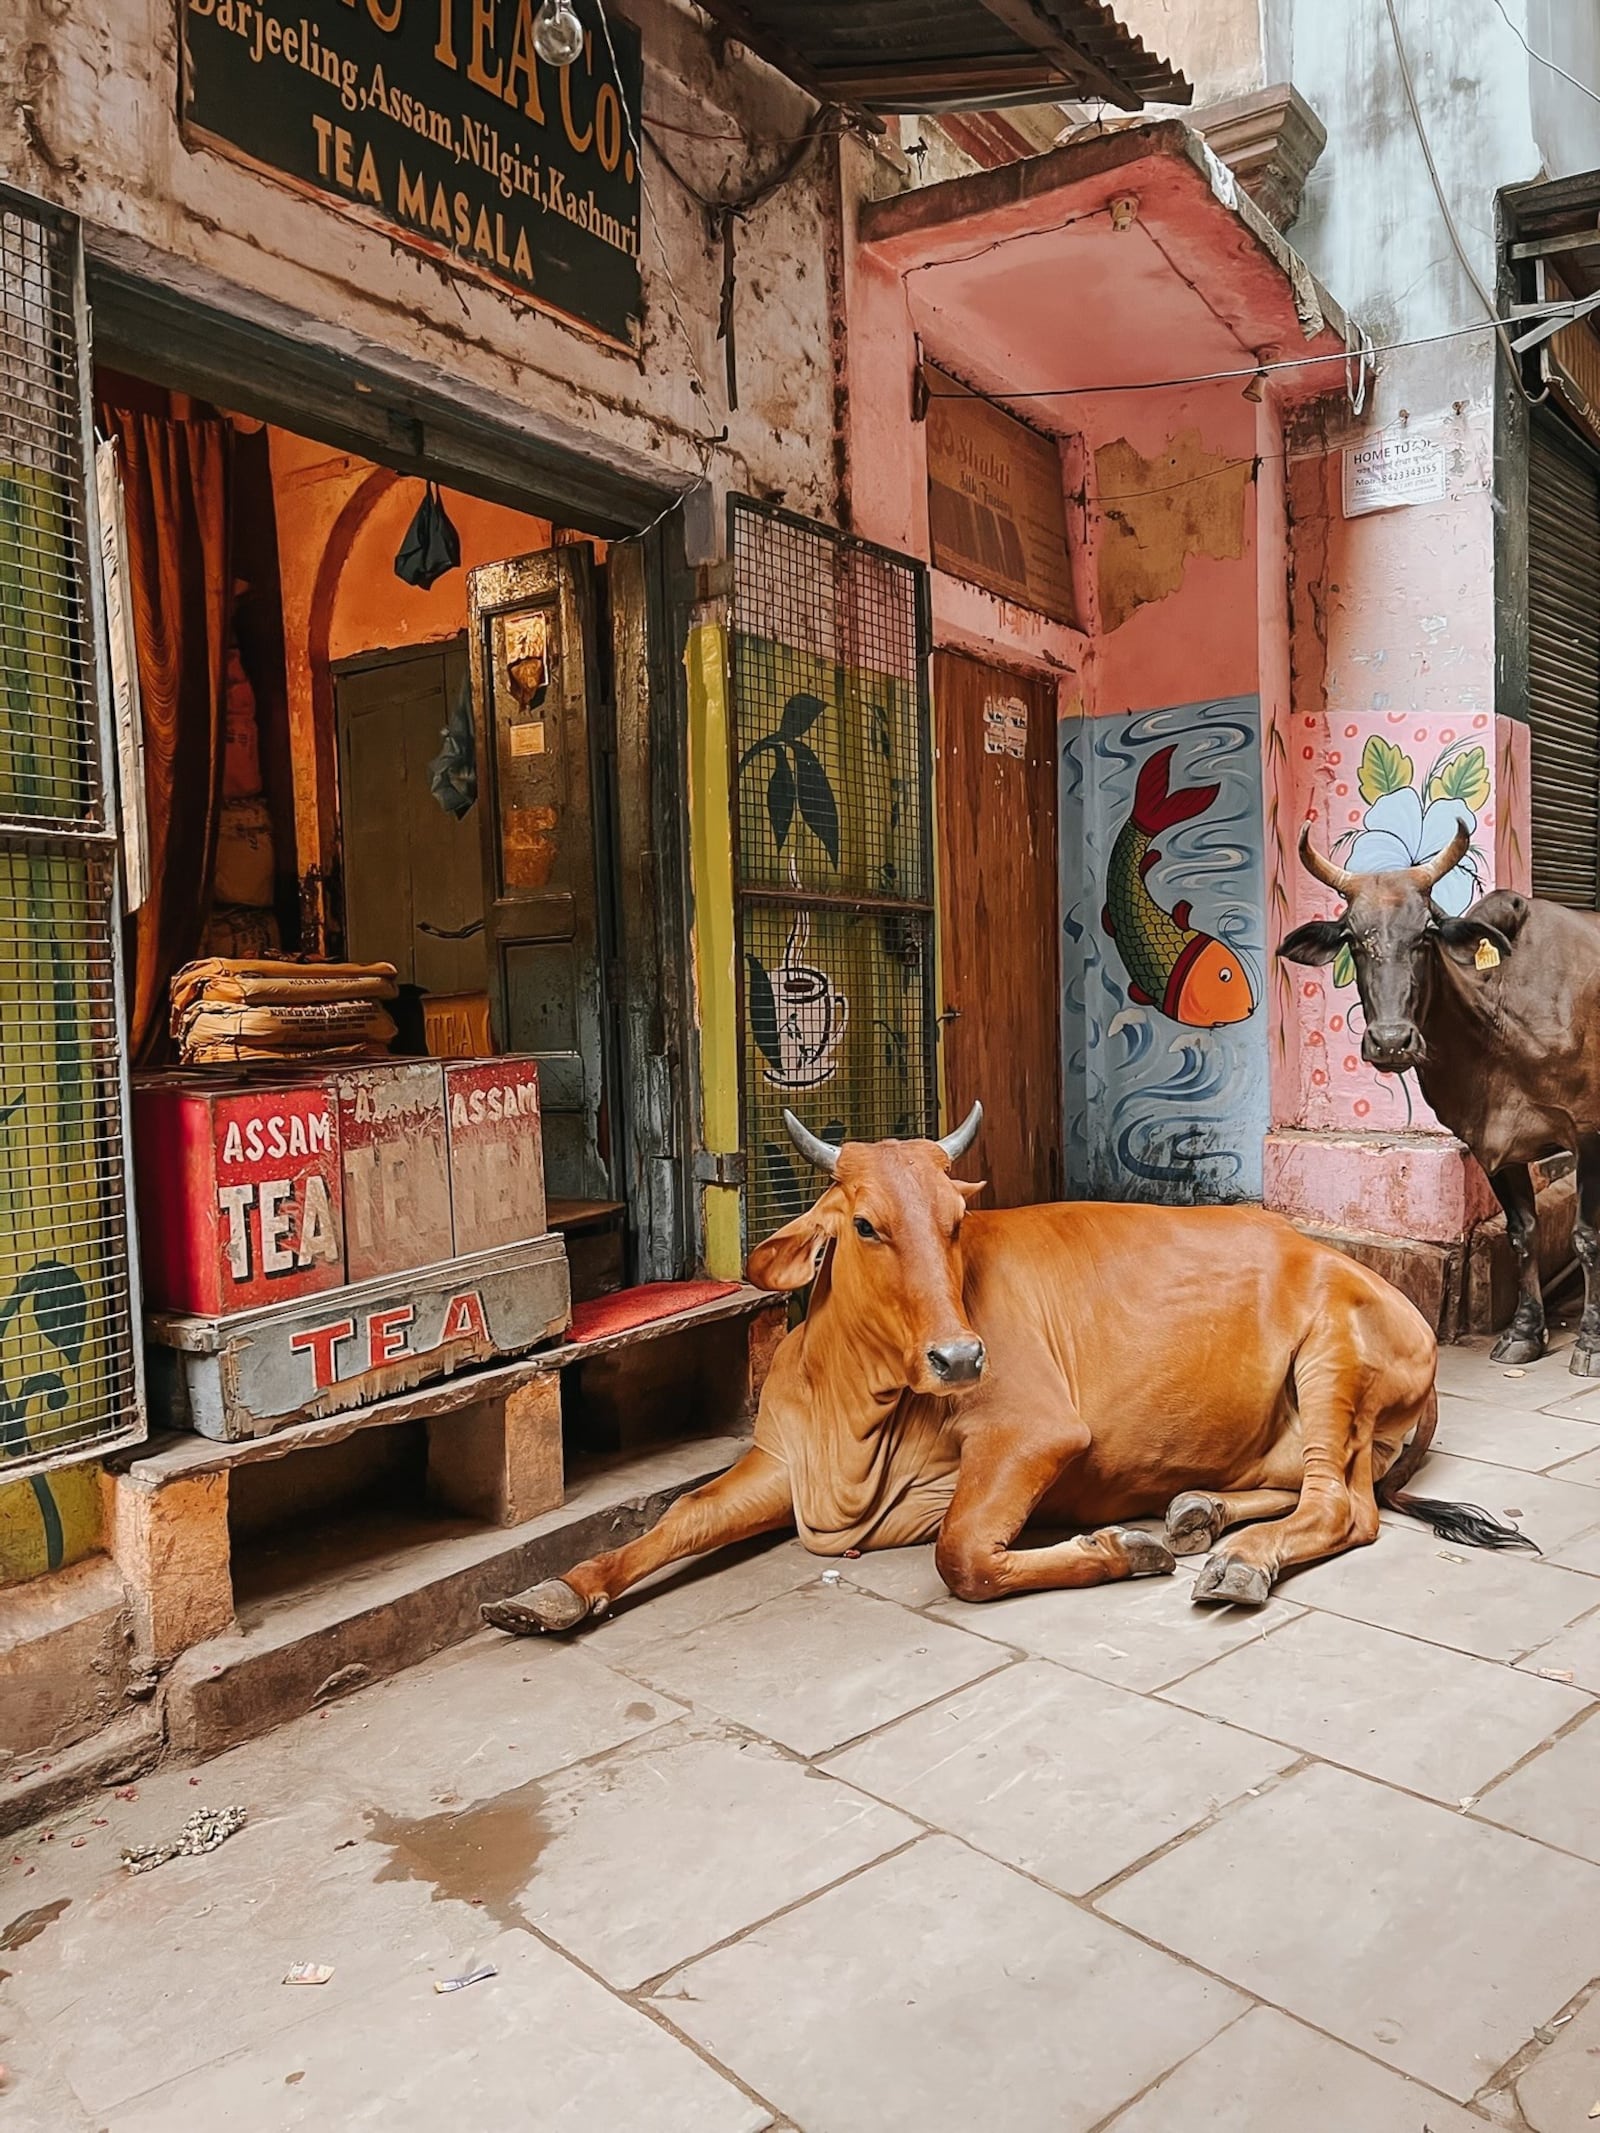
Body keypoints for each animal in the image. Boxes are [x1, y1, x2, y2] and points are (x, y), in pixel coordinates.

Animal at [482, 1100, 1484, 1629]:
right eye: (865, 1223)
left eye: (956, 1219)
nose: (961, 1355)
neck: (854, 1413)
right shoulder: (778, 1463)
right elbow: (679, 1517)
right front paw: (558, 1589)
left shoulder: (1033, 1432)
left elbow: (963, 1554)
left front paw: (1120, 1547)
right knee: (1298, 1488)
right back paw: (1198, 1511)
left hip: (1335, 1361)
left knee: (1342, 1507)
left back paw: (1236, 1560)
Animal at [1288, 823, 1600, 1373]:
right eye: (1353, 938)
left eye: (1425, 934)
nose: (1391, 1041)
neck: (1500, 1020)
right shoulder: (1493, 1142)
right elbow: (1523, 1233)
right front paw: (1524, 1332)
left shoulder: (1588, 1129)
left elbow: (1586, 1237)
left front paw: (1589, 1341)